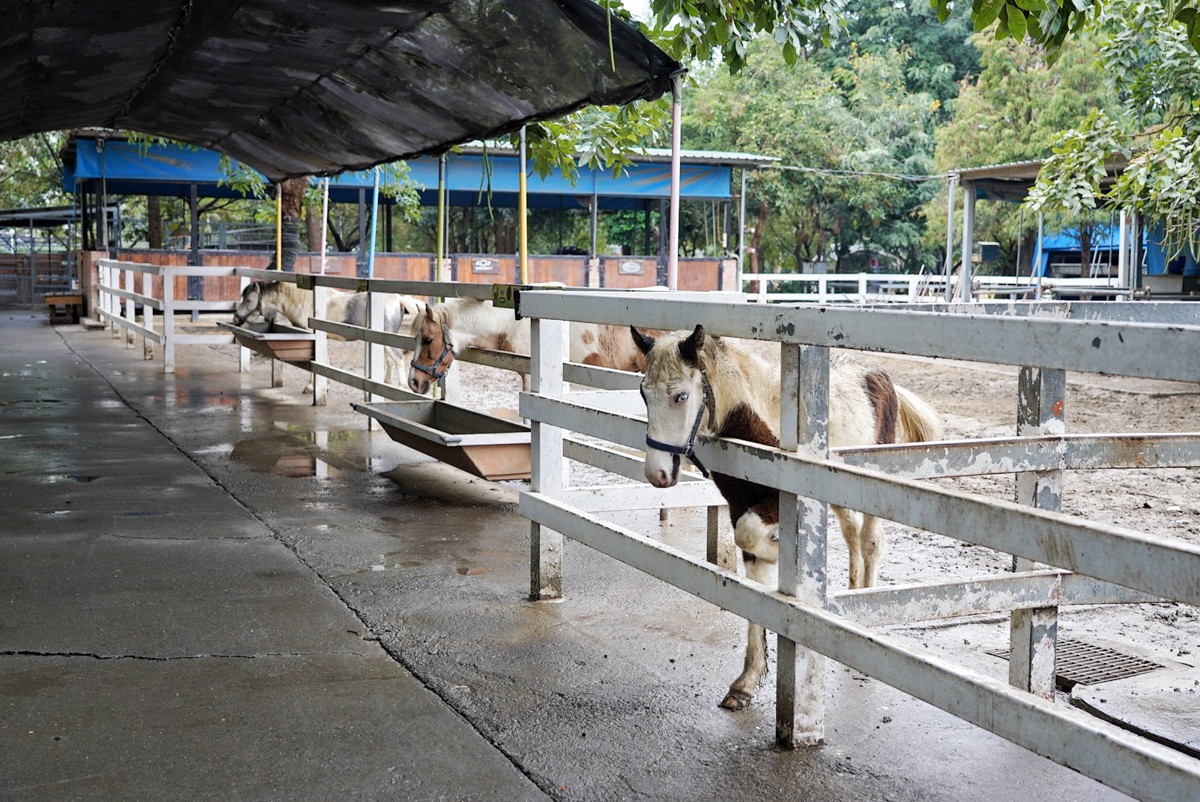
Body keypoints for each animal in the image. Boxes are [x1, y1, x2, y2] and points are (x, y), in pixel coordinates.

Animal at [234, 278, 422, 384]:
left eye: (249, 300)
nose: (236, 319)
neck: (305, 301)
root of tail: (399, 300)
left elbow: (317, 361)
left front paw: (311, 386)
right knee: (391, 361)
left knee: (398, 359)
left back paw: (402, 386)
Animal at [633, 321, 940, 710]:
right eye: (644, 394)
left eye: (681, 396)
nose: (656, 473)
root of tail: (880, 375)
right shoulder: (741, 508)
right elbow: (753, 568)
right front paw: (746, 683)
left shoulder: (778, 505)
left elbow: (754, 538)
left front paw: (786, 560)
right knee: (852, 533)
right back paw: (852, 596)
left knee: (871, 540)